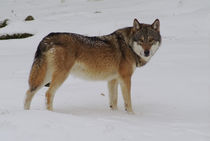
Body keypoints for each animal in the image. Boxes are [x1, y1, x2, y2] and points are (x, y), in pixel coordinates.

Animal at [25, 18, 162, 113]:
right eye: (141, 40)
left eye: (151, 40)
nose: (146, 52)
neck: (128, 46)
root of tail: (48, 37)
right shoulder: (125, 78)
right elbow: (128, 102)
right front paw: (132, 115)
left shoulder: (112, 80)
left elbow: (114, 102)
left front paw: (116, 115)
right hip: (59, 76)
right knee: (48, 94)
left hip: (45, 77)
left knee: (29, 92)